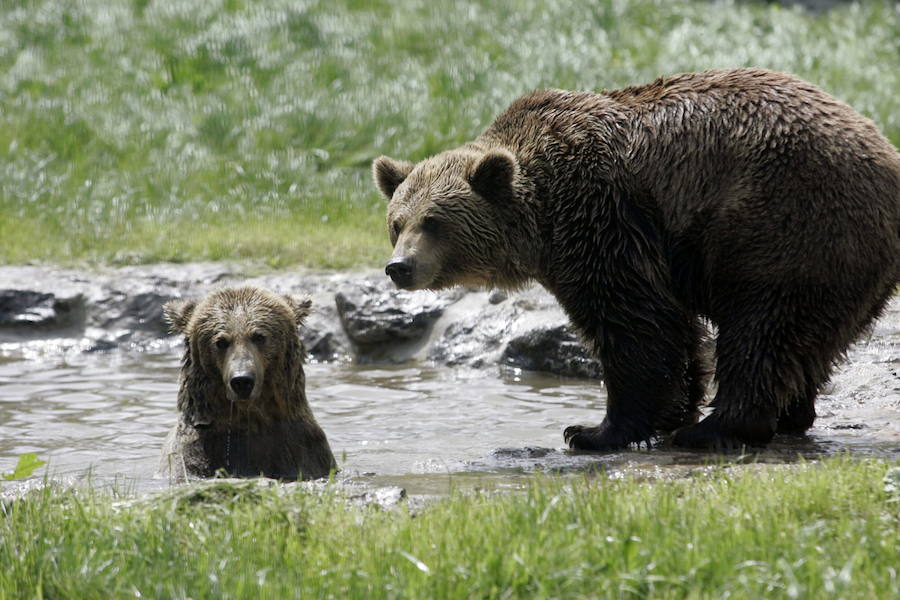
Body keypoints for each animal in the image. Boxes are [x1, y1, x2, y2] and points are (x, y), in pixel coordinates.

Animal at [156, 286, 336, 478]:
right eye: (221, 341)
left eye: (259, 336)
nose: (242, 381)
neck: (249, 418)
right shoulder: (194, 453)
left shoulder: (303, 448)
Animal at [372, 68, 900, 450]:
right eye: (397, 223)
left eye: (434, 222)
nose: (400, 268)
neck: (540, 219)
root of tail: (886, 159)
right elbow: (669, 327)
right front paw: (669, 412)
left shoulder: (602, 214)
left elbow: (636, 321)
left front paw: (593, 431)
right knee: (808, 340)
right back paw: (789, 414)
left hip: (784, 223)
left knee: (762, 328)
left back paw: (716, 429)